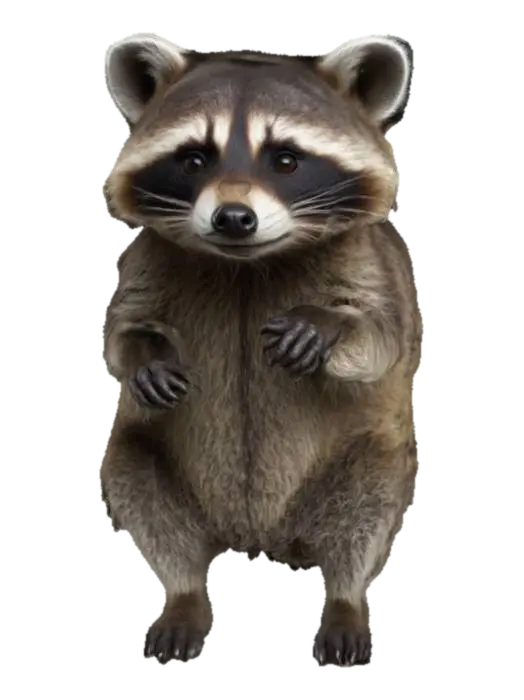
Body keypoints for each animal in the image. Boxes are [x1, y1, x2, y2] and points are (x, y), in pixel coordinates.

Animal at [99, 34, 420, 669]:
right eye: (194, 159)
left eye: (286, 159)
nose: (233, 218)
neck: (244, 264)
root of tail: (256, 539)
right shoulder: (144, 259)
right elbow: (120, 330)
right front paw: (143, 351)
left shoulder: (372, 261)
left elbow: (381, 332)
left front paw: (329, 327)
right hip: (164, 476)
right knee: (138, 478)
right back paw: (184, 594)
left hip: (359, 468)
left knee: (367, 507)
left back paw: (345, 600)